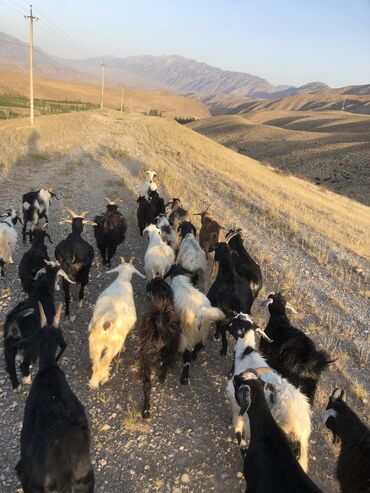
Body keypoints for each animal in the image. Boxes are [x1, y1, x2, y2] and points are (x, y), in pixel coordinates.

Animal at [3, 260, 73, 390]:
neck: (42, 291)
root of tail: (15, 321)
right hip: (31, 345)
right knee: (23, 364)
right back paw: (27, 378)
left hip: (8, 344)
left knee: (10, 365)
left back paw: (16, 385)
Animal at [88, 256, 145, 386]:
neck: (122, 280)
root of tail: (106, 323)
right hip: (113, 344)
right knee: (104, 362)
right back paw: (103, 378)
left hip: (94, 343)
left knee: (96, 363)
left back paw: (93, 383)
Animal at [139, 274, 181, 418]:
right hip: (171, 347)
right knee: (166, 363)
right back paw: (162, 376)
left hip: (146, 361)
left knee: (147, 386)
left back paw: (146, 410)